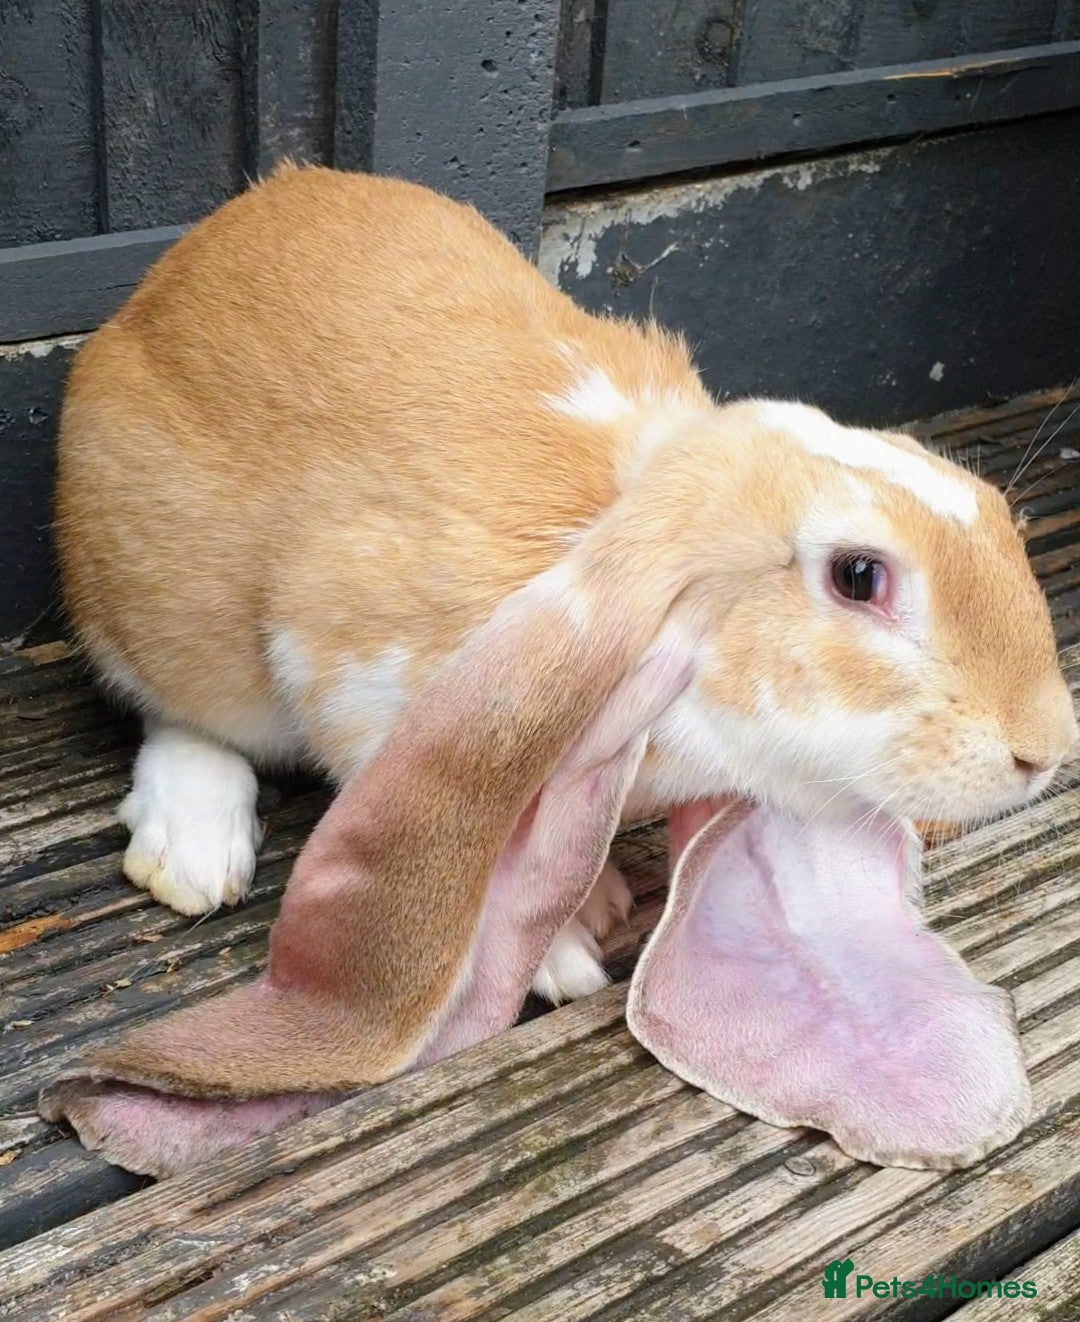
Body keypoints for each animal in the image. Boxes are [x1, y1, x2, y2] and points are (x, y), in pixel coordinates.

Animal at [48, 164, 1077, 1174]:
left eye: (996, 510)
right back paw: (193, 847)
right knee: (177, 713)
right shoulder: (356, 677)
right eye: (858, 575)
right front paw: (561, 953)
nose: (1047, 749)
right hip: (169, 612)